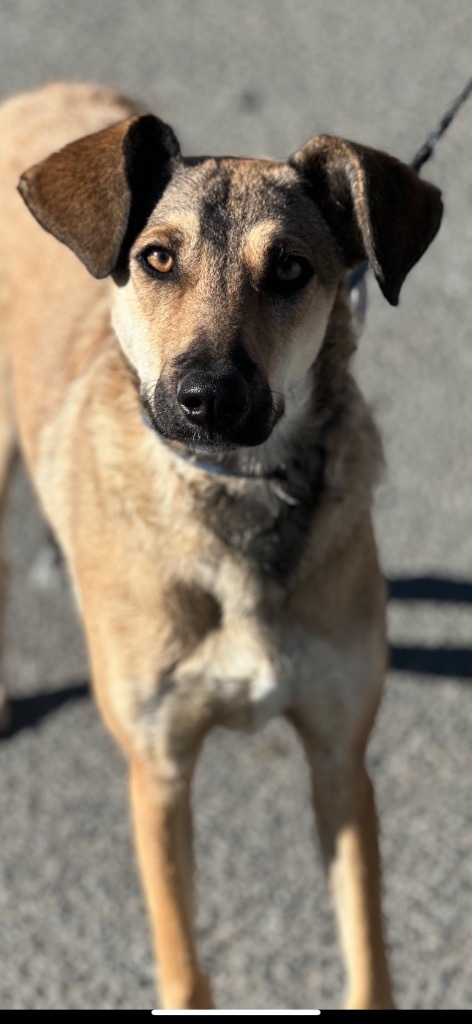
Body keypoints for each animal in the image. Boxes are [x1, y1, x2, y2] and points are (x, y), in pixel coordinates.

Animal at [0, 81, 442, 1007]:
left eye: (292, 270)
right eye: (158, 259)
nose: (209, 397)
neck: (238, 494)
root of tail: (47, 93)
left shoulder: (341, 761)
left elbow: (367, 954)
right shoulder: (160, 772)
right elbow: (185, 969)